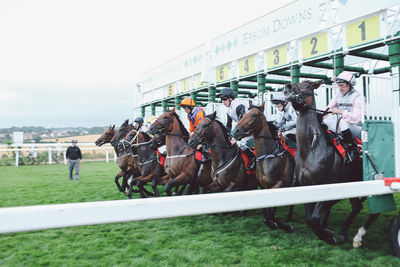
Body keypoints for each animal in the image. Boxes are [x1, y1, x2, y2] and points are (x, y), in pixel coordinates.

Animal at [231, 103, 296, 233]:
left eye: (254, 115)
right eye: (243, 114)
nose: (235, 131)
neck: (269, 157)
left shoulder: (280, 184)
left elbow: (270, 214)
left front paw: (282, 225)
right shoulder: (265, 187)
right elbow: (267, 214)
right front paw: (277, 224)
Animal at [282, 80, 370, 246]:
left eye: (308, 84)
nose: (287, 87)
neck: (312, 149)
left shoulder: (328, 186)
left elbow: (314, 218)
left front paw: (328, 235)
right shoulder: (306, 186)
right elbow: (309, 218)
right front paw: (327, 234)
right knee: (357, 206)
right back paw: (343, 232)